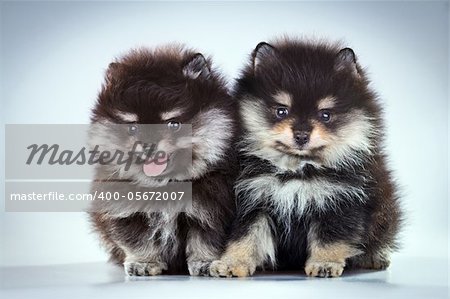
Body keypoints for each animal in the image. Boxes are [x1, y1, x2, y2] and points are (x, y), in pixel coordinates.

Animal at [86, 45, 237, 278]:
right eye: (133, 127)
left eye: (173, 124)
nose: (149, 145)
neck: (166, 185)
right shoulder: (126, 212)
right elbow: (137, 240)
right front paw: (144, 263)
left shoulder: (211, 209)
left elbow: (206, 239)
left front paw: (205, 262)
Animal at [209, 39, 402, 278]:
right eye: (281, 111)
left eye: (325, 114)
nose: (301, 135)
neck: (296, 169)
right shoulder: (253, 199)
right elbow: (245, 236)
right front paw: (233, 262)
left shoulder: (338, 200)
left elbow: (330, 238)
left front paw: (325, 263)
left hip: (386, 212)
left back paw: (374, 258)